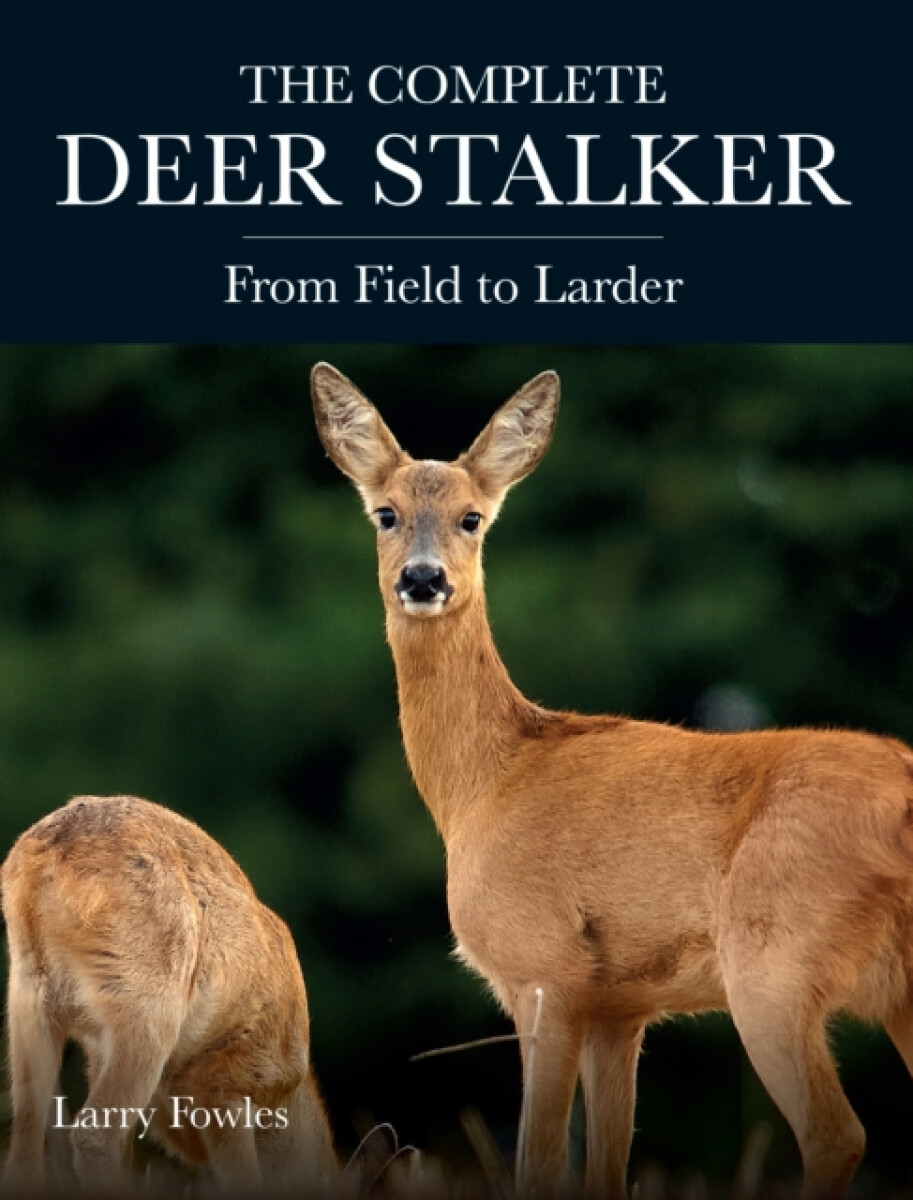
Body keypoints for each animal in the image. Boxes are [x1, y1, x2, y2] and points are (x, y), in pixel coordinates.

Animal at [1, 793, 415, 1195]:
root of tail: (45, 856)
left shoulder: (98, 1053)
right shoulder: (228, 1083)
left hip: (30, 992)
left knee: (26, 1140)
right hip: (145, 1003)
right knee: (93, 1135)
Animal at [311, 362, 913, 1199]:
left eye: (471, 518)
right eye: (385, 513)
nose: (422, 579)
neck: (484, 785)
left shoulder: (542, 970)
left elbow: (538, 1163)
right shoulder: (619, 1008)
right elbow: (605, 1168)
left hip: (773, 958)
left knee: (834, 1134)